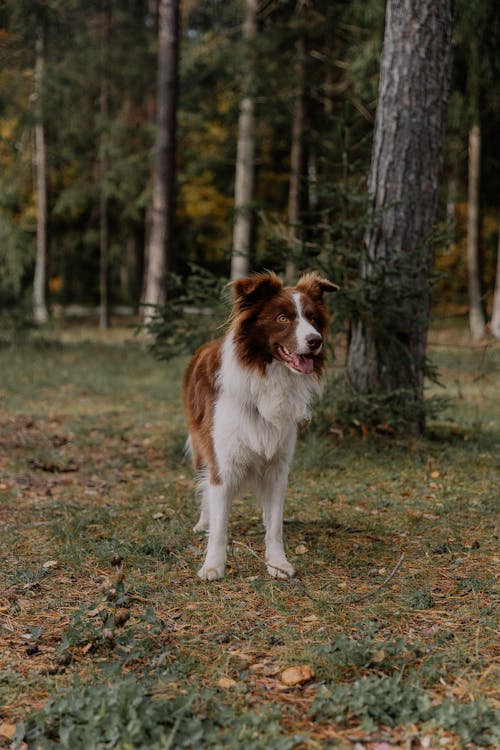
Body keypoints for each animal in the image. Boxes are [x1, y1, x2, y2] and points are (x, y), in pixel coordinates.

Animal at [182, 270, 338, 580]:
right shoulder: (223, 462)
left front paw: (277, 562)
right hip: (201, 447)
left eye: (313, 318)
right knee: (204, 484)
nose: (316, 341)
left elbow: (274, 524)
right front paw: (213, 565)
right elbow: (220, 525)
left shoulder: (278, 466)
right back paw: (203, 522)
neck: (269, 375)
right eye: (282, 318)